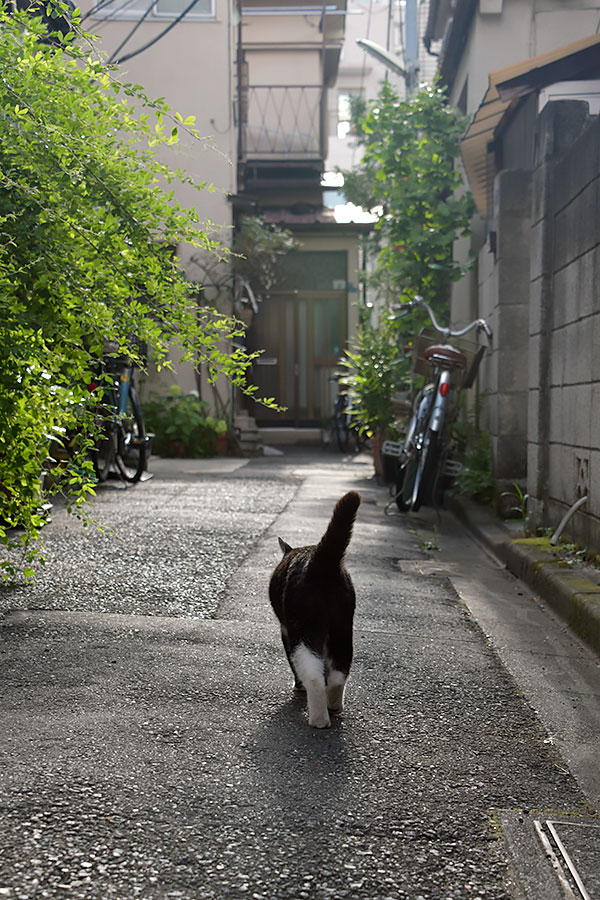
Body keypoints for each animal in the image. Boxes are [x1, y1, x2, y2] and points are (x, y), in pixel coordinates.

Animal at [268, 488, 360, 728]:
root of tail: (321, 561)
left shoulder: (285, 630)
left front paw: (298, 686)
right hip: (342, 629)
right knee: (339, 672)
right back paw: (334, 705)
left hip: (303, 630)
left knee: (313, 675)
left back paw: (319, 718)